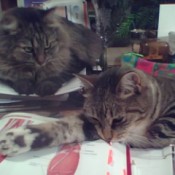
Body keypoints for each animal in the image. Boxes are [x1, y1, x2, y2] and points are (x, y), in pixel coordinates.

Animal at [0, 66, 175, 156]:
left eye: (118, 120)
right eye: (95, 118)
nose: (107, 139)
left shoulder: (159, 130)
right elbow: (64, 127)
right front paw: (16, 139)